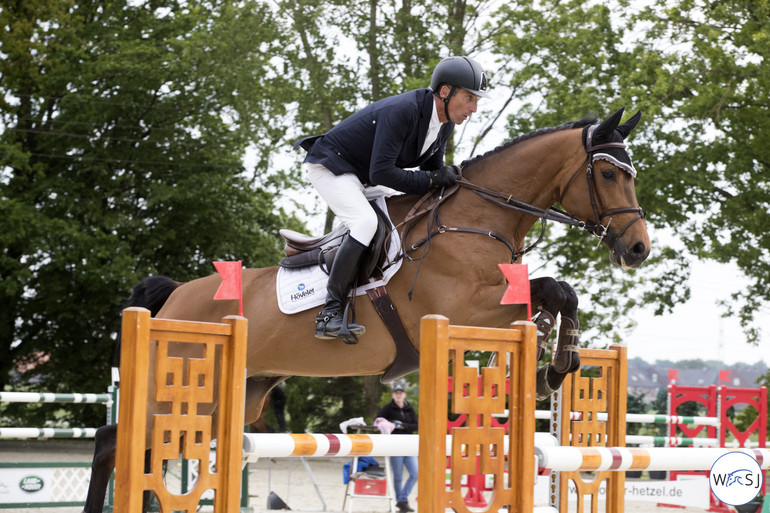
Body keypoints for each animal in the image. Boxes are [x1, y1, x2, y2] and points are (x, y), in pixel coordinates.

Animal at [82, 106, 648, 510]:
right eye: (609, 175)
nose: (639, 248)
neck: (476, 217)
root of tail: (175, 295)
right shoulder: (464, 310)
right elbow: (556, 290)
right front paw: (556, 367)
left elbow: (556, 292)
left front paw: (555, 364)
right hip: (174, 390)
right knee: (114, 440)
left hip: (232, 397)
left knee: (153, 452)